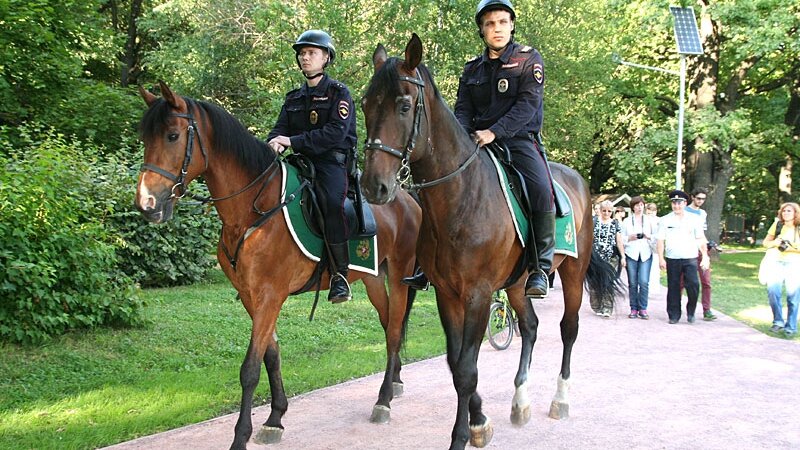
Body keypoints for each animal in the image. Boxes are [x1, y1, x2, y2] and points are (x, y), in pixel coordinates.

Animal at [136, 82, 424, 448]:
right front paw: (275, 418)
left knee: (395, 330)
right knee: (390, 327)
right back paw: (394, 383)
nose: (147, 202)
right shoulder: (251, 296)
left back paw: (384, 400)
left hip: (400, 273)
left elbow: (249, 369)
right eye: (146, 138)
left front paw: (240, 436)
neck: (252, 210)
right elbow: (271, 355)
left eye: (172, 135)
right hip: (373, 279)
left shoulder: (270, 296)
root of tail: (406, 197)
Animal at [360, 36, 616, 450]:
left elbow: (467, 367)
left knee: (568, 328)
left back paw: (559, 399)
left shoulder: (478, 294)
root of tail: (577, 180)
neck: (462, 196)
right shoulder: (448, 293)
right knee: (530, 327)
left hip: (573, 274)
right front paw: (480, 421)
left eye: (404, 105)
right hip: (516, 284)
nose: (373, 186)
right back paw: (520, 402)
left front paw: (463, 435)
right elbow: (456, 362)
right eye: (366, 104)